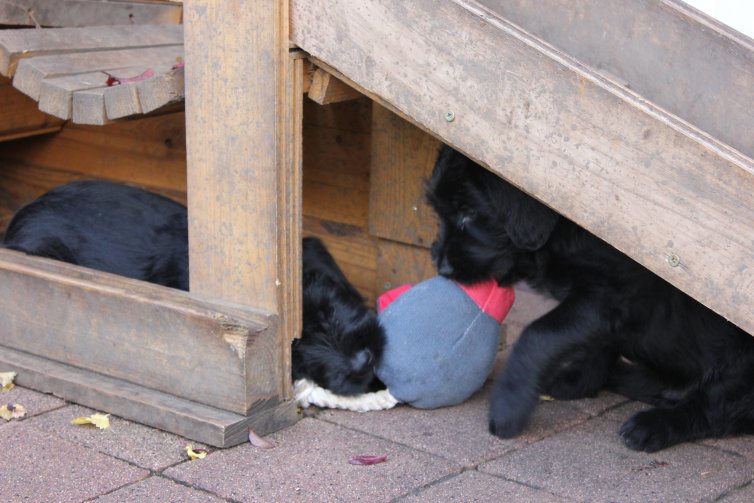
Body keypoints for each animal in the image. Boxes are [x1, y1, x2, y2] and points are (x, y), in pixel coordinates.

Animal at [426, 146, 748, 452]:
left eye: (468, 213)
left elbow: (538, 335)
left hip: (737, 370)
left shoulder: (606, 297)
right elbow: (598, 346)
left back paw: (653, 425)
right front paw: (577, 382)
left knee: (715, 410)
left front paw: (509, 404)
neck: (567, 229)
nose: (442, 267)